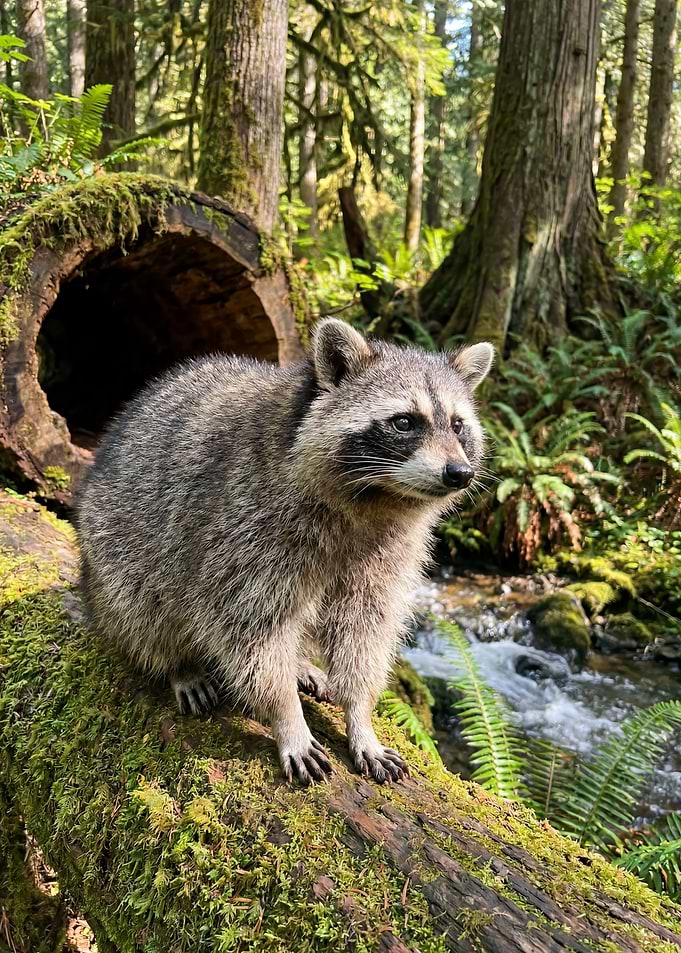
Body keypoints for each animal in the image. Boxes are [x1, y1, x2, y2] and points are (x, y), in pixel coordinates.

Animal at [76, 319, 493, 784]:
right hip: (114, 545)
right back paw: (179, 664)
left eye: (457, 425)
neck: (377, 497)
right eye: (405, 422)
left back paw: (298, 663)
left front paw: (360, 717)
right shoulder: (246, 528)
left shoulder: (389, 553)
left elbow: (366, 631)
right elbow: (249, 629)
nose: (460, 473)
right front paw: (287, 718)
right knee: (141, 607)